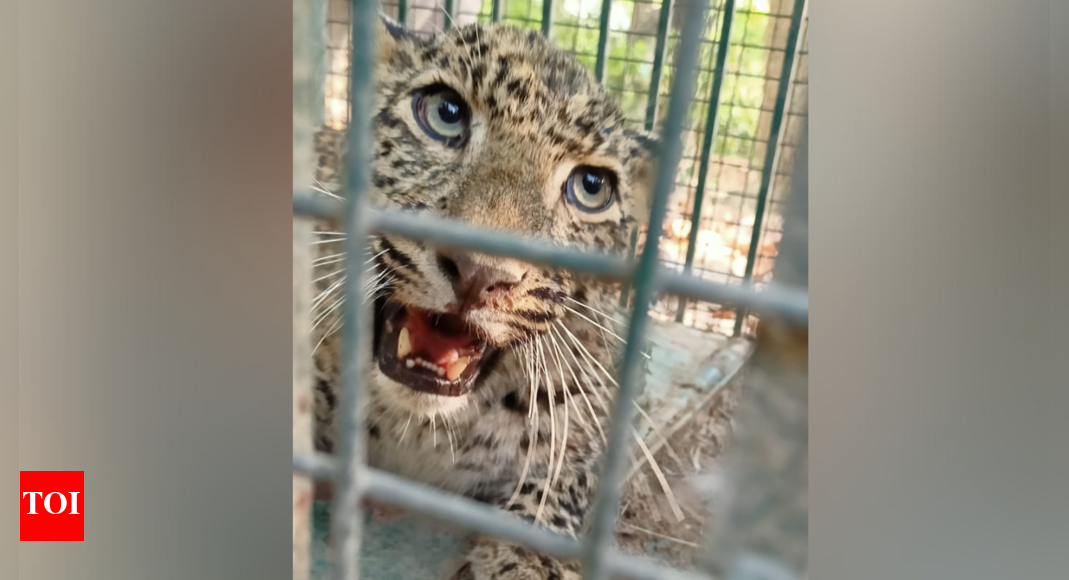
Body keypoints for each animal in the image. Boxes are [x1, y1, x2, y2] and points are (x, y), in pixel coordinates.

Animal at [305, 14, 699, 580]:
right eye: (445, 114)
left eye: (592, 187)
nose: (479, 271)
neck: (418, 431)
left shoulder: (590, 431)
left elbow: (554, 502)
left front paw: (523, 562)